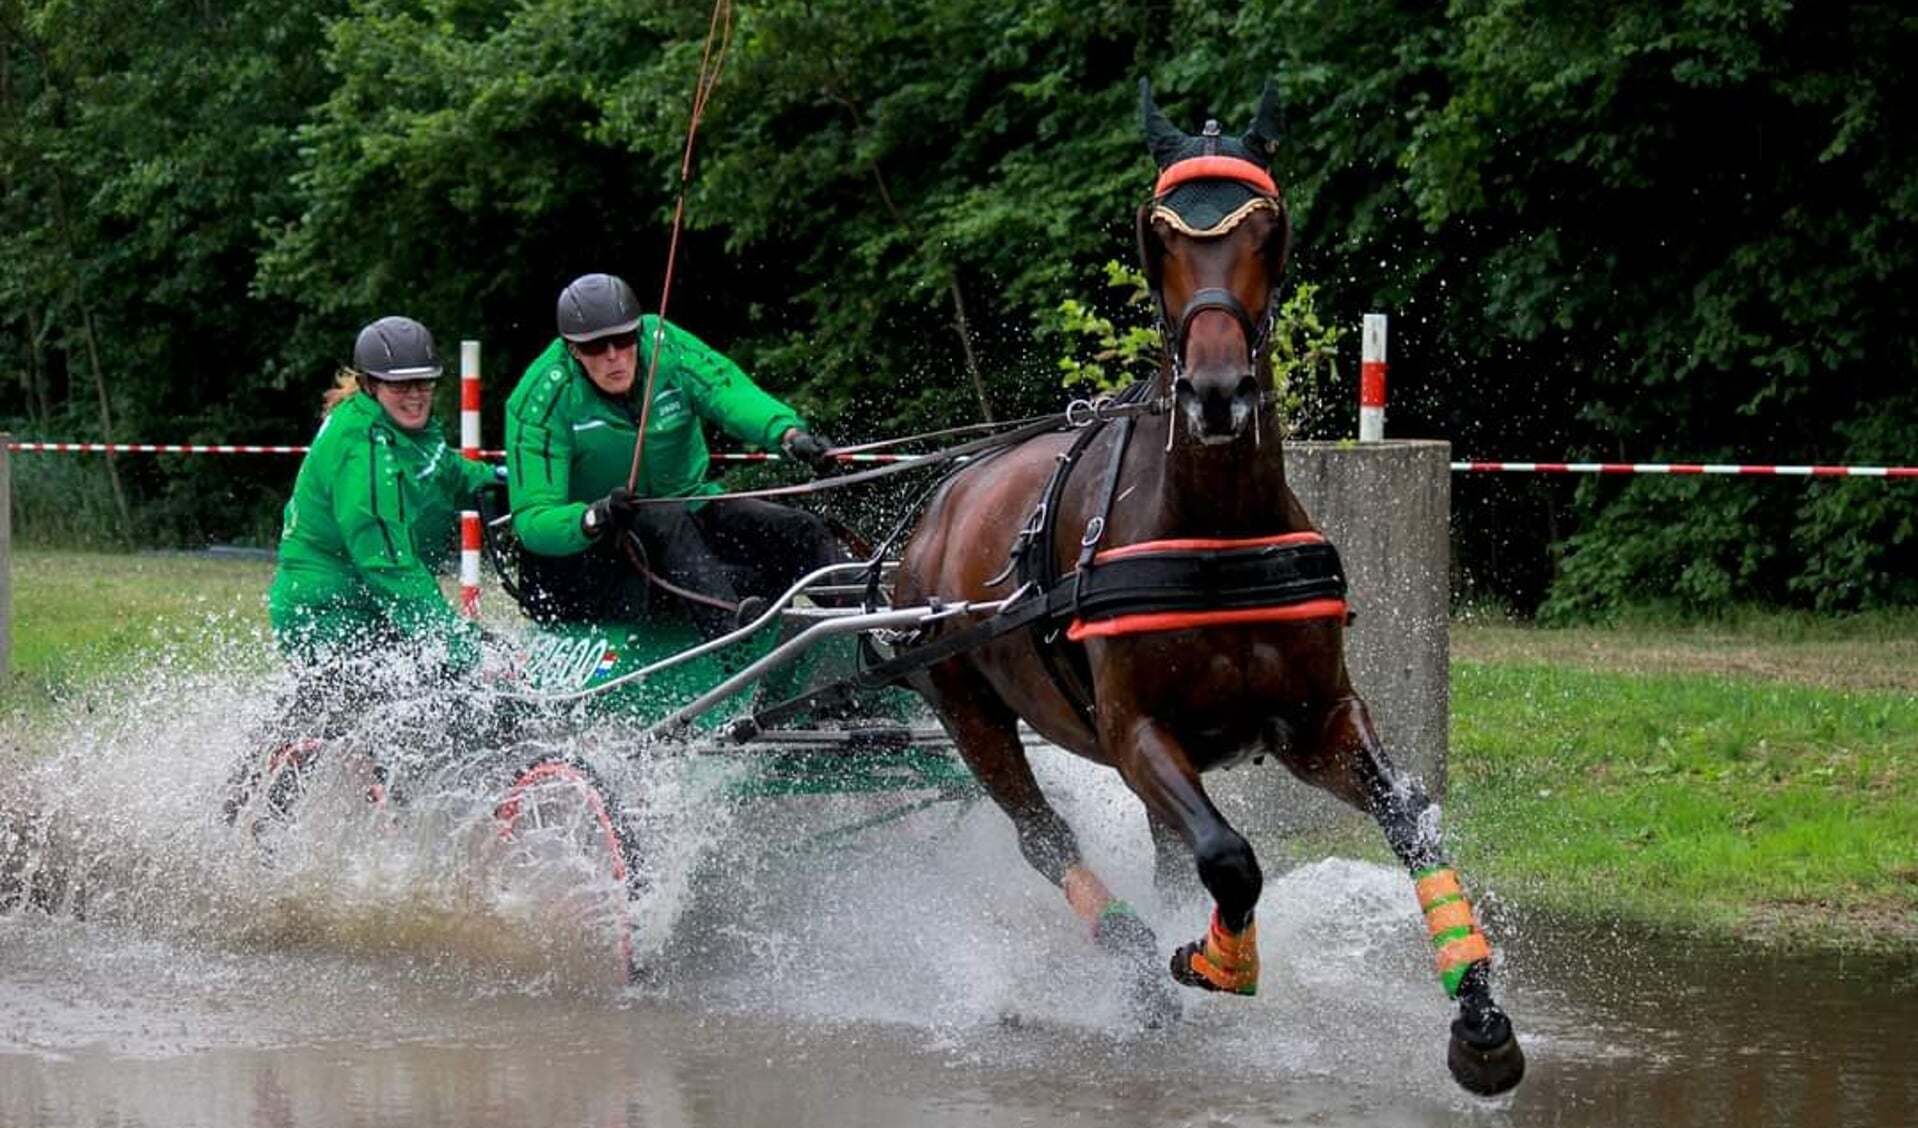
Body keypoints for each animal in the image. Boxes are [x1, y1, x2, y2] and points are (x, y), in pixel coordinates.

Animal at [886, 81, 1526, 1104]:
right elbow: (1230, 858)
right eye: (1159, 233)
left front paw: (1478, 1018)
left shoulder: (1317, 720)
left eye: (1267, 224)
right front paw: (1218, 961)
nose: (1219, 392)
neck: (1217, 529)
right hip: (969, 707)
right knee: (1046, 837)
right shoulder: (1137, 728)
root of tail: (940, 505)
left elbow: (1411, 822)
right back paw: (1133, 965)